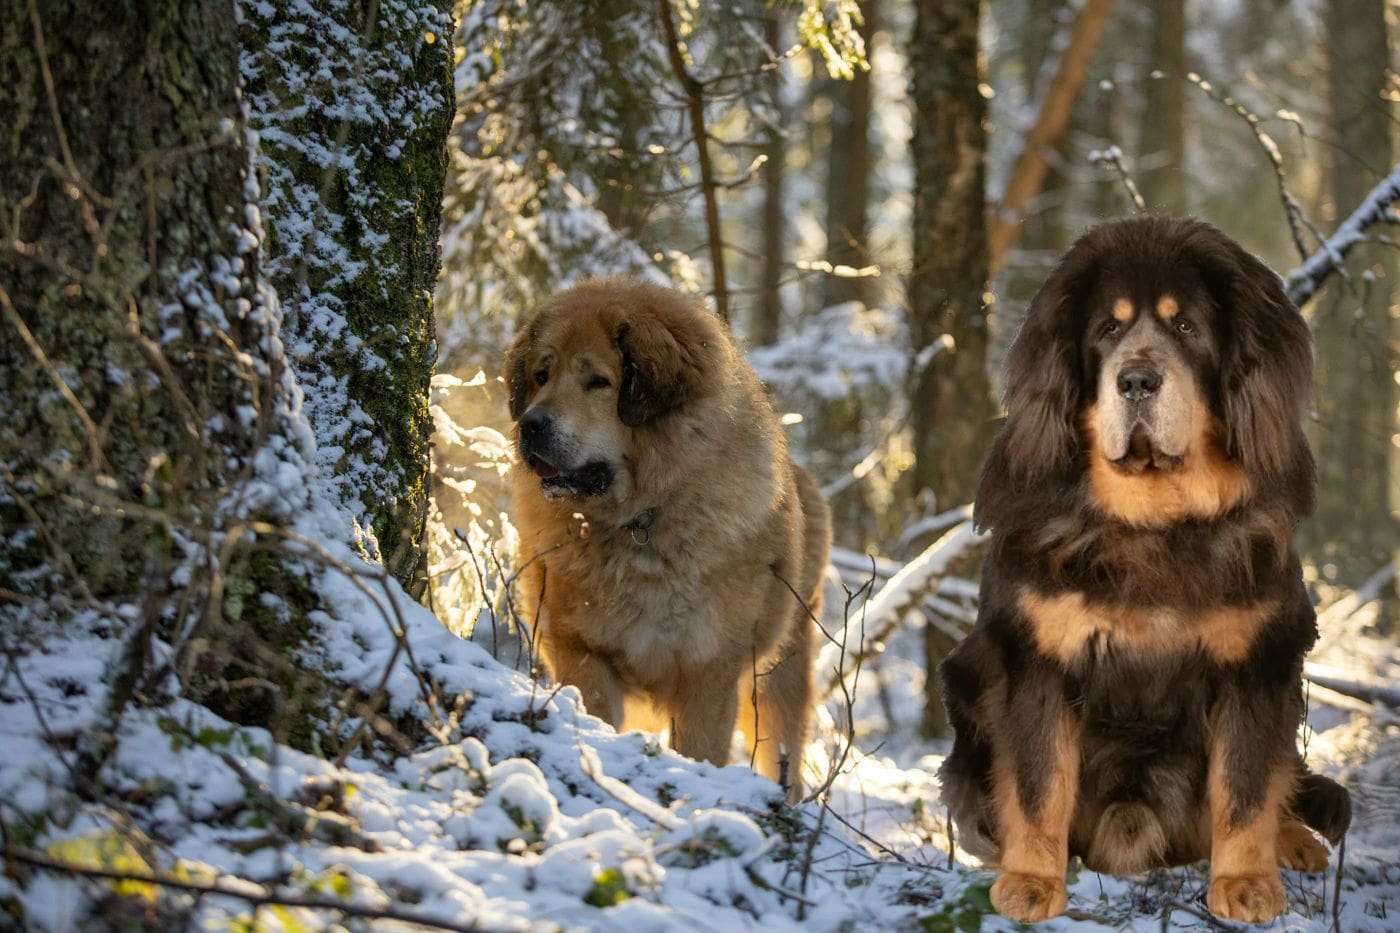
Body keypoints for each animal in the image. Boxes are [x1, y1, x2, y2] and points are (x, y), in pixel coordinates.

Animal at [506, 277, 823, 801]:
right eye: (541, 375)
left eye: (598, 382)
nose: (530, 426)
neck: (639, 522)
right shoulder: (581, 650)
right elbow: (596, 714)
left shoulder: (709, 669)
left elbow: (700, 751)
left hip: (779, 675)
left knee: (784, 753)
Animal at [935, 218, 1349, 924]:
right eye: (1107, 329)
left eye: (1185, 327)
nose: (1135, 381)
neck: (1152, 523)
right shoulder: (1039, 660)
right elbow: (1040, 783)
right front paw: (1031, 881)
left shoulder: (1255, 663)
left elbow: (1244, 787)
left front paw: (1245, 882)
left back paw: (1294, 841)